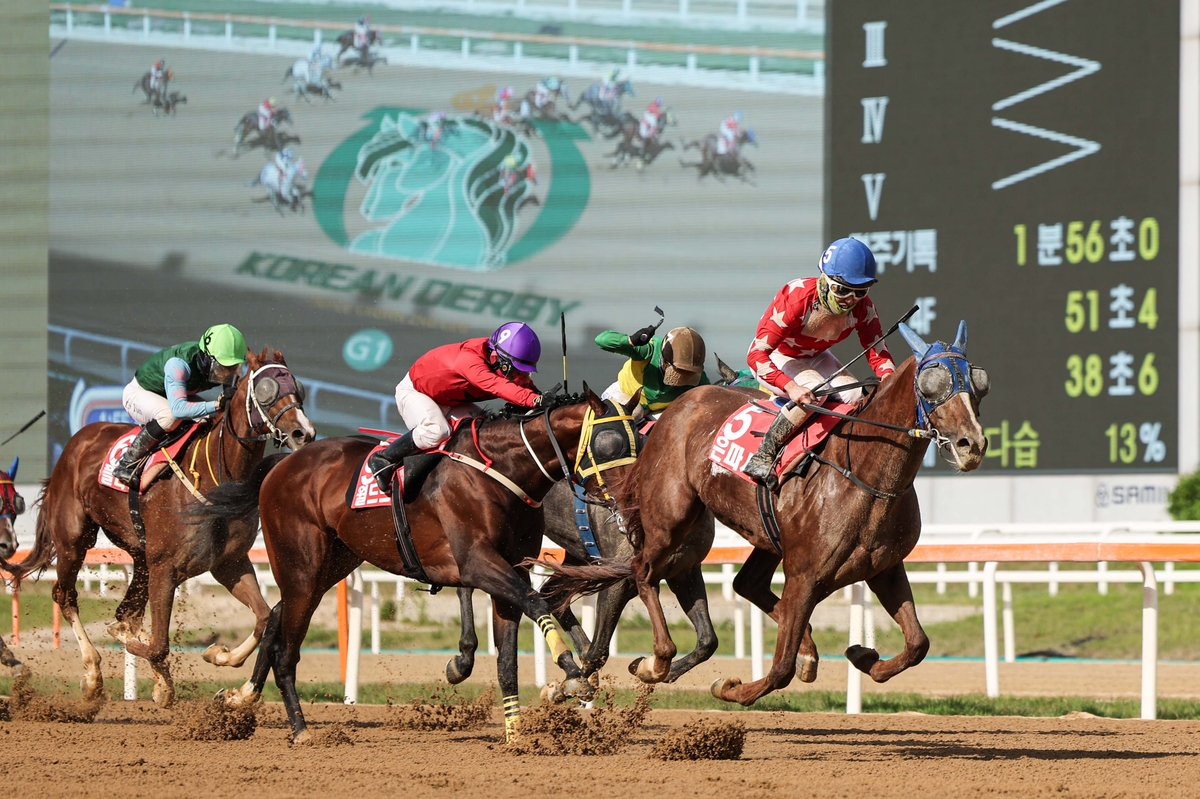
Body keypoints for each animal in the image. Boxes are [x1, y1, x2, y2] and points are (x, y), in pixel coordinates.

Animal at [11, 347, 312, 705]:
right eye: (267, 391)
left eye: (297, 387)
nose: (304, 433)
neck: (218, 479)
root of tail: (78, 441)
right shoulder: (165, 567)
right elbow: (156, 644)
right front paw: (146, 660)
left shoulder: (229, 562)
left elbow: (264, 617)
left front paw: (218, 656)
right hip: (74, 540)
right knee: (66, 595)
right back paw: (93, 674)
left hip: (140, 556)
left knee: (126, 612)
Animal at [202, 386, 614, 739]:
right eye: (608, 445)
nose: (618, 502)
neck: (501, 470)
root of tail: (282, 465)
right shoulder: (478, 563)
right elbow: (535, 602)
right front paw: (572, 674)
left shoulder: (510, 568)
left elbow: (508, 659)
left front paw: (517, 738)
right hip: (302, 566)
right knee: (286, 651)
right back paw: (300, 729)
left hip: (332, 562)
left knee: (276, 615)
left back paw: (242, 696)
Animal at [549, 321, 988, 700]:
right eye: (931, 386)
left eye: (979, 384)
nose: (972, 444)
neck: (864, 471)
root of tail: (682, 404)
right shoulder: (804, 574)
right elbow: (779, 669)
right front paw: (729, 688)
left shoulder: (884, 567)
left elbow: (918, 644)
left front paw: (863, 656)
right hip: (670, 517)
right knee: (642, 572)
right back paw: (654, 663)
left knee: (742, 584)